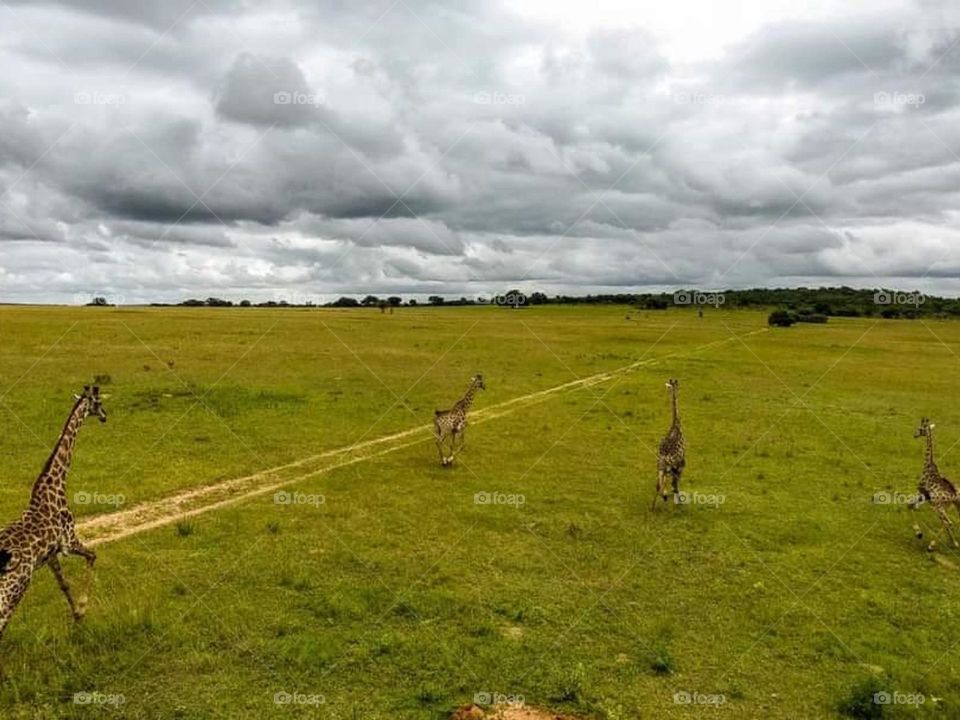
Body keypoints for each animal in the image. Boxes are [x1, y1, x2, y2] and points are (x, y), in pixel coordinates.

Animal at [0, 385, 108, 640]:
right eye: (98, 402)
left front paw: (77, 616)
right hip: (12, 590)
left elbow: (63, 584)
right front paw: (82, 609)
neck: (56, 484)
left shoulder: (51, 555)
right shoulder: (69, 541)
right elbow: (92, 556)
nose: (105, 416)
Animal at [652, 378, 686, 510]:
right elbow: (675, 483)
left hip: (659, 465)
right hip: (669, 465)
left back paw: (653, 507)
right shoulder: (681, 461)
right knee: (669, 482)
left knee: (658, 483)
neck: (676, 424)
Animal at [909, 417, 960, 550]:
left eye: (920, 429)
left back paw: (931, 546)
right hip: (946, 507)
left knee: (948, 522)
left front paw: (919, 533)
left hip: (938, 507)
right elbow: (911, 506)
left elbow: (910, 505)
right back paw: (954, 543)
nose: (914, 435)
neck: (928, 466)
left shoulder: (920, 491)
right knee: (947, 522)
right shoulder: (925, 497)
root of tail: (954, 495)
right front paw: (919, 533)